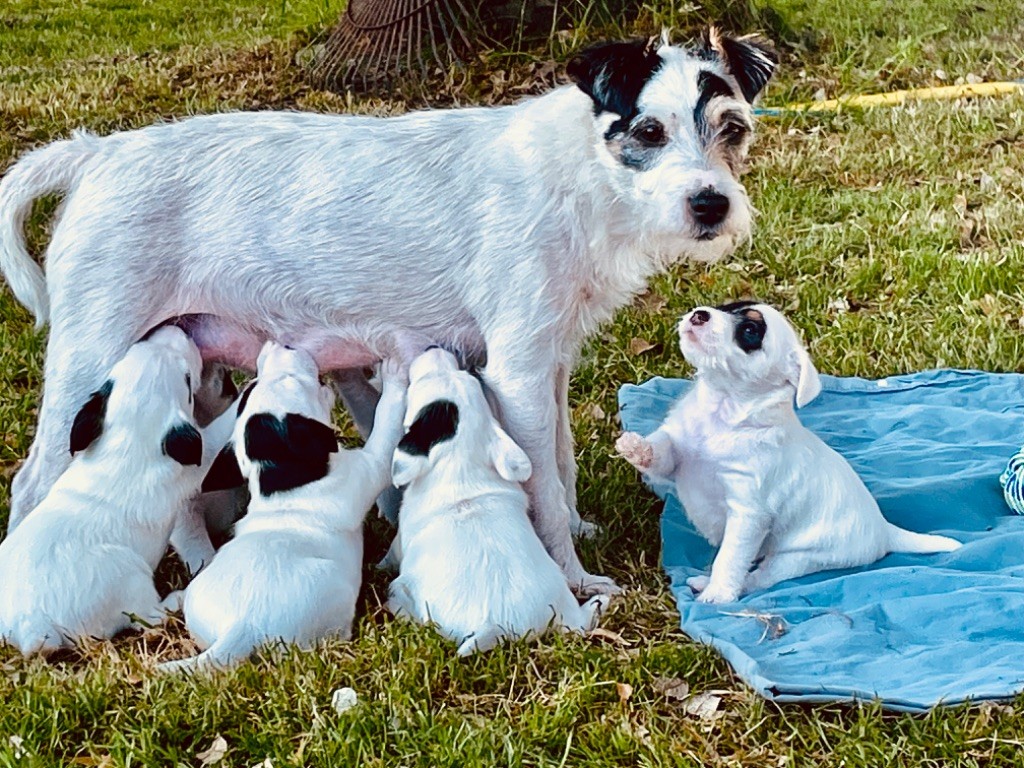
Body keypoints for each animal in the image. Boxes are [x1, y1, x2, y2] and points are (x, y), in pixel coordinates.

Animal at [0, 327, 204, 659]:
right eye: (187, 379)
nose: (175, 329)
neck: (127, 441)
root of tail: (29, 621)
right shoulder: (187, 470)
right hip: (131, 576)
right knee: (149, 617)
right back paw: (178, 597)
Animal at [159, 342, 407, 671]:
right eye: (292, 379)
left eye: (252, 387)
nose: (280, 343)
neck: (282, 476)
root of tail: (242, 627)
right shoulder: (368, 467)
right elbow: (385, 424)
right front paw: (395, 373)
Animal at [385, 348, 606, 655]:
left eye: (420, 384)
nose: (434, 348)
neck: (460, 466)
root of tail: (497, 625)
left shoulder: (400, 541)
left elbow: (390, 553)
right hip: (563, 604)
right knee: (579, 622)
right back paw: (598, 604)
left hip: (410, 593)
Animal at [614, 303, 958, 606]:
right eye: (725, 307)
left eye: (751, 331)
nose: (700, 314)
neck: (723, 411)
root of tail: (884, 530)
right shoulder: (679, 452)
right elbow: (662, 450)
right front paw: (635, 446)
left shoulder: (748, 514)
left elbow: (731, 557)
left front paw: (719, 595)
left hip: (799, 558)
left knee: (759, 577)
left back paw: (713, 584)